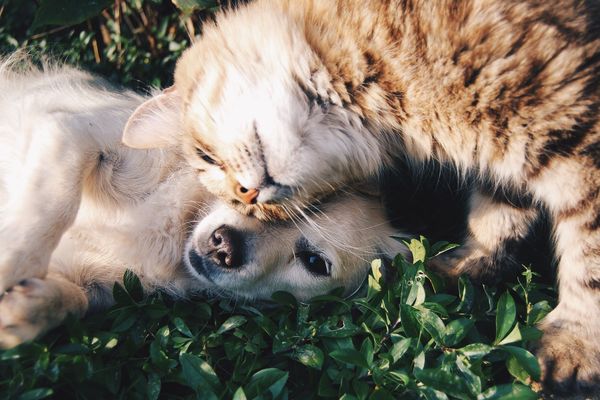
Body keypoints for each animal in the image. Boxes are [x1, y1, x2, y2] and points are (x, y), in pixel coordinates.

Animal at [0, 57, 408, 348]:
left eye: (314, 263)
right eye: (251, 190)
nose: (224, 246)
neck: (177, 226)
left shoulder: (98, 285)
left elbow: (74, 300)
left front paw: (25, 310)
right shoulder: (68, 131)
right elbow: (52, 206)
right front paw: (10, 263)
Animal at [123, 0, 600, 394]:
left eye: (206, 157)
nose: (249, 194)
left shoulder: (577, 136)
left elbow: (588, 258)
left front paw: (574, 347)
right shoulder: (507, 161)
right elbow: (498, 216)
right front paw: (466, 266)